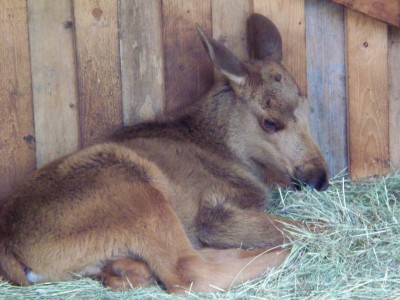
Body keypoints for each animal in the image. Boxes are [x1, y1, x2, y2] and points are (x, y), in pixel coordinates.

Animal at [0, 13, 328, 292]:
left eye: (307, 106)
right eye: (270, 122)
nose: (319, 176)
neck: (226, 149)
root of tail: (10, 252)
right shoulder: (212, 212)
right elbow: (308, 226)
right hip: (133, 186)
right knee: (188, 271)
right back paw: (281, 253)